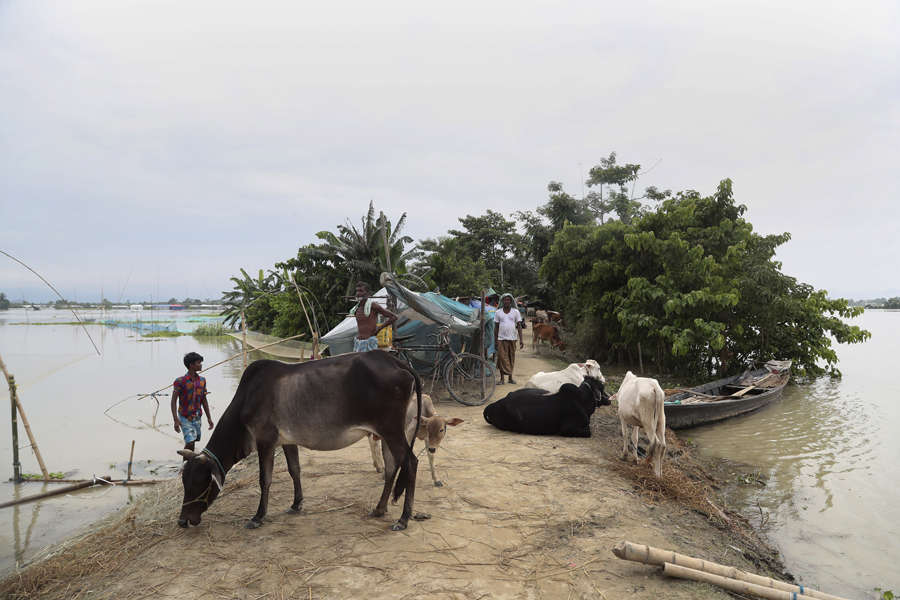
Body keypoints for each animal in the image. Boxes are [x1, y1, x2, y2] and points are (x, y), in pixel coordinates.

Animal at [181, 354, 428, 532]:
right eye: (185, 482)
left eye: (197, 483)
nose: (182, 521)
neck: (247, 399)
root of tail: (394, 360)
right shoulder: (287, 441)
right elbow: (294, 470)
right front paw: (296, 504)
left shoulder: (265, 440)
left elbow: (265, 479)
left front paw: (258, 516)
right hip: (387, 434)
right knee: (391, 468)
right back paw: (379, 509)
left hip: (392, 431)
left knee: (411, 463)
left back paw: (403, 519)